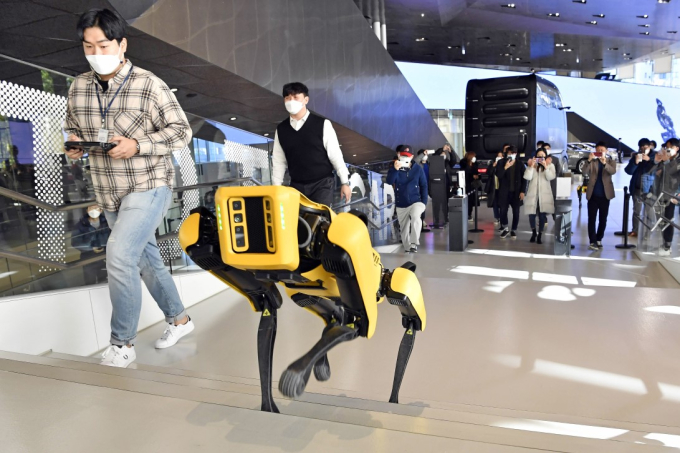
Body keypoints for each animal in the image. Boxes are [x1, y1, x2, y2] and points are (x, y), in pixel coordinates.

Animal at [179, 185, 424, 412]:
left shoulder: (343, 242)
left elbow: (359, 325)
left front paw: (295, 376)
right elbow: (268, 303)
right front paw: (269, 405)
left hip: (384, 285)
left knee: (404, 305)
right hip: (306, 294)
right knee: (319, 307)